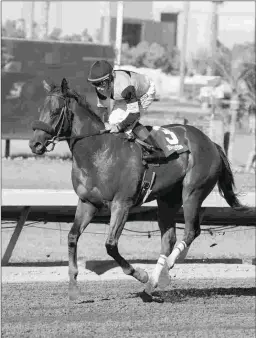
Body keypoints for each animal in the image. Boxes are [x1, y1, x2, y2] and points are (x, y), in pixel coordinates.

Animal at [29, 78, 247, 302]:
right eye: (40, 109)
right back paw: (153, 284)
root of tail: (211, 143)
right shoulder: (87, 203)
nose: (35, 144)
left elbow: (110, 244)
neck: (98, 152)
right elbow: (72, 237)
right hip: (168, 199)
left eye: (55, 111)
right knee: (169, 238)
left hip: (192, 193)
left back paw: (162, 271)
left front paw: (141, 274)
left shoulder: (122, 204)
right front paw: (73, 288)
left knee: (191, 231)